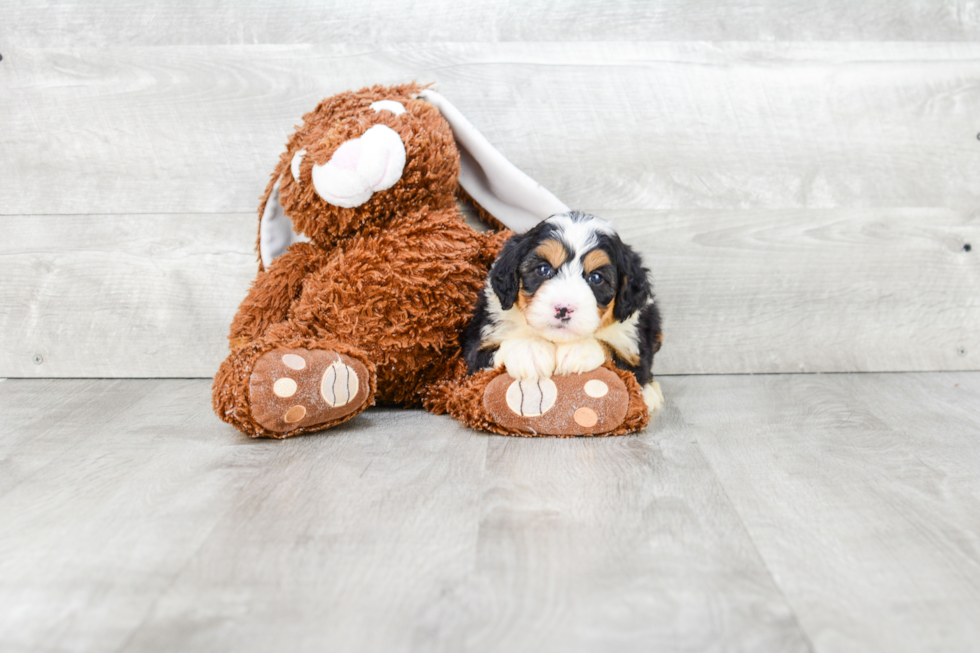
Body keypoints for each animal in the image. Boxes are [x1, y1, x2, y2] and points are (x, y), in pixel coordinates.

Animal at [462, 211, 664, 410]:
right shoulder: (475, 350)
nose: (563, 308)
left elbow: (618, 357)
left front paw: (580, 349)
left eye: (596, 278)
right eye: (543, 269)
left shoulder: (634, 354)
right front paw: (530, 350)